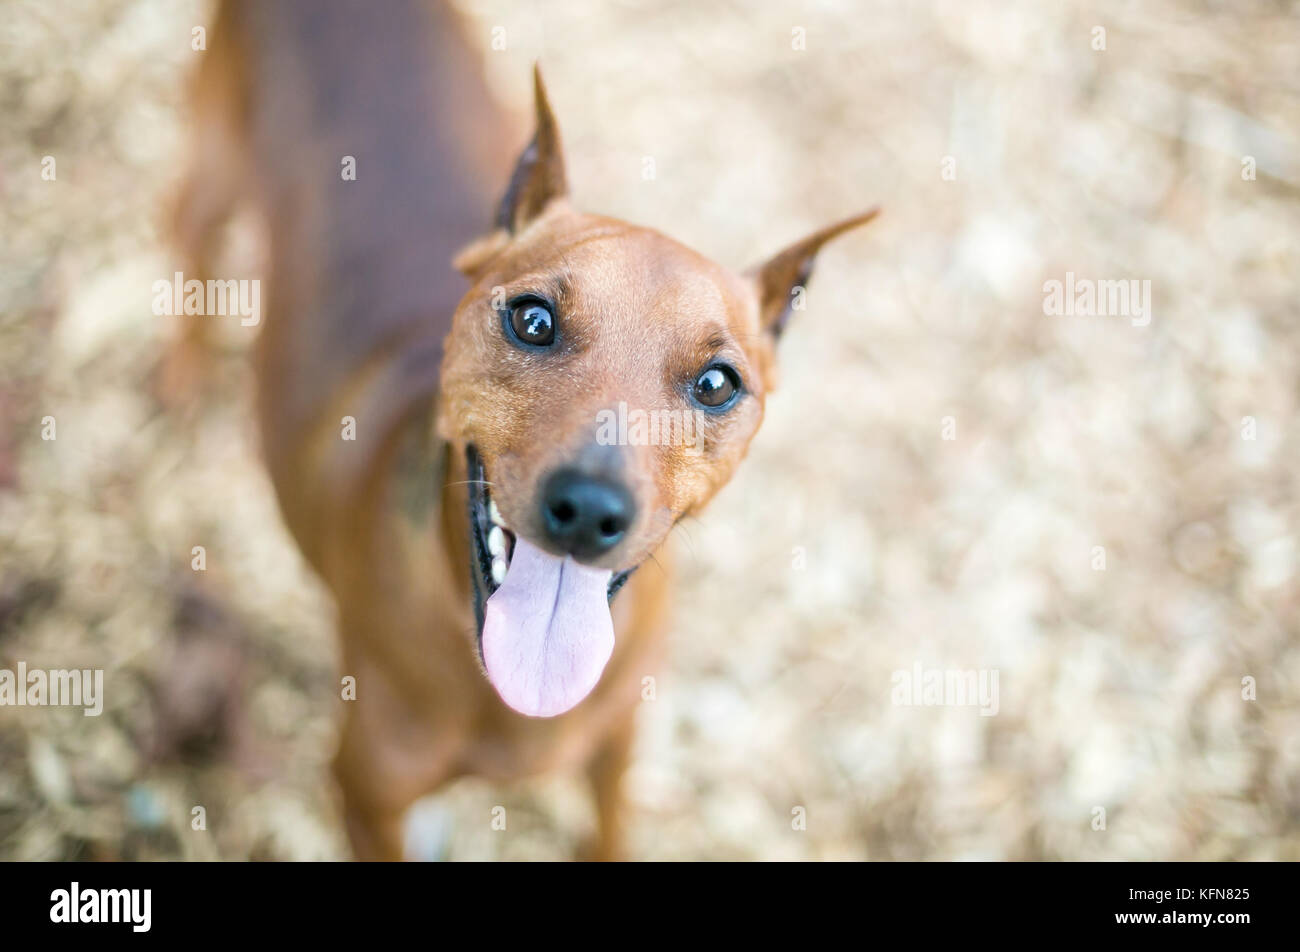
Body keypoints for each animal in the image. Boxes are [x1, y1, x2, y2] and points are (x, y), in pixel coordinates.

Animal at [170, 1, 873, 863]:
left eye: (717, 384)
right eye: (532, 320)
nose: (590, 510)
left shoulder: (617, 742)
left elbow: (608, 831)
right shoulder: (368, 793)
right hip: (212, 164)